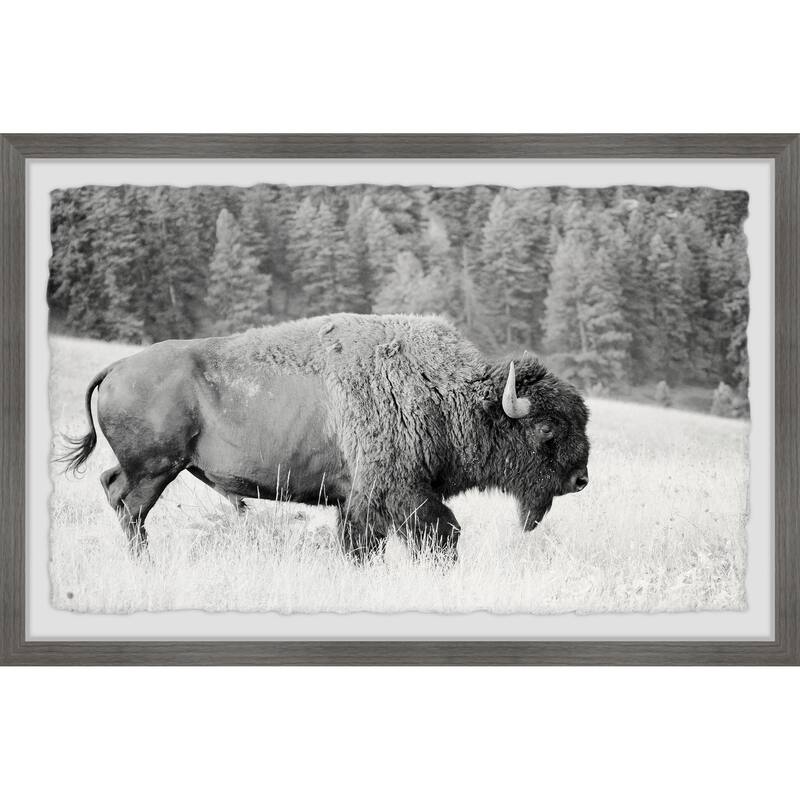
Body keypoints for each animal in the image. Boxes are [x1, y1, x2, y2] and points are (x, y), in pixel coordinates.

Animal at [60, 313, 590, 561]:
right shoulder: (400, 493)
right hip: (155, 469)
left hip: (148, 469)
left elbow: (362, 545)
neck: (444, 391)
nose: (580, 479)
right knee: (131, 509)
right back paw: (144, 563)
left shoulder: (354, 501)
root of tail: (116, 367)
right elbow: (439, 535)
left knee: (112, 488)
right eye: (546, 427)